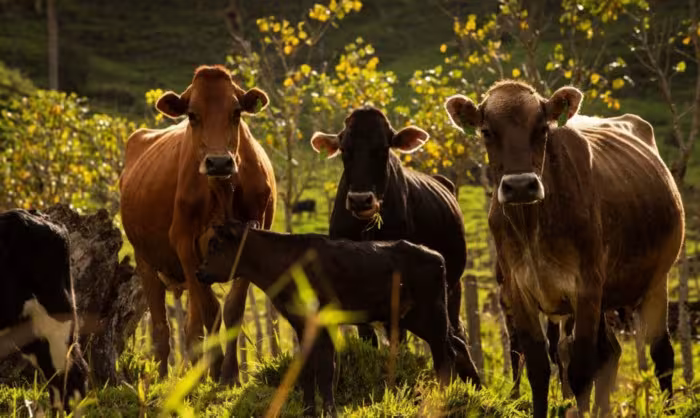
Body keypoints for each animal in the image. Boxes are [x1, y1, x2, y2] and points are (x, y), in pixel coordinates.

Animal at [119, 65, 276, 384]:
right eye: (192, 115)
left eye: (236, 112)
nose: (219, 162)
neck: (223, 191)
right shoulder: (184, 244)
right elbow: (210, 310)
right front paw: (216, 371)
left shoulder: (252, 240)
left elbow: (232, 309)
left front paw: (229, 376)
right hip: (145, 261)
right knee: (162, 328)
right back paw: (165, 379)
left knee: (191, 328)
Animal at [196, 219, 481, 416]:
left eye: (215, 245)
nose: (199, 272)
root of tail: (436, 256)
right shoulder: (301, 324)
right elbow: (307, 367)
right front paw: (309, 410)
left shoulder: (323, 320)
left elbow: (326, 368)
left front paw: (329, 410)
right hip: (420, 317)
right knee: (457, 347)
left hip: (432, 314)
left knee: (446, 355)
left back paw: (443, 399)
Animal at [309, 106, 470, 354]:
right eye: (345, 149)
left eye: (383, 149)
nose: (360, 200)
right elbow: (366, 335)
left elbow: (398, 336)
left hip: (453, 288)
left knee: (455, 332)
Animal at [444, 81, 684, 417]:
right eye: (487, 131)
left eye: (542, 128)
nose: (520, 186)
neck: (532, 226)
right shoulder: (518, 291)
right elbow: (538, 368)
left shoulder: (585, 288)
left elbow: (580, 371)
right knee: (610, 352)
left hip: (656, 281)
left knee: (661, 354)